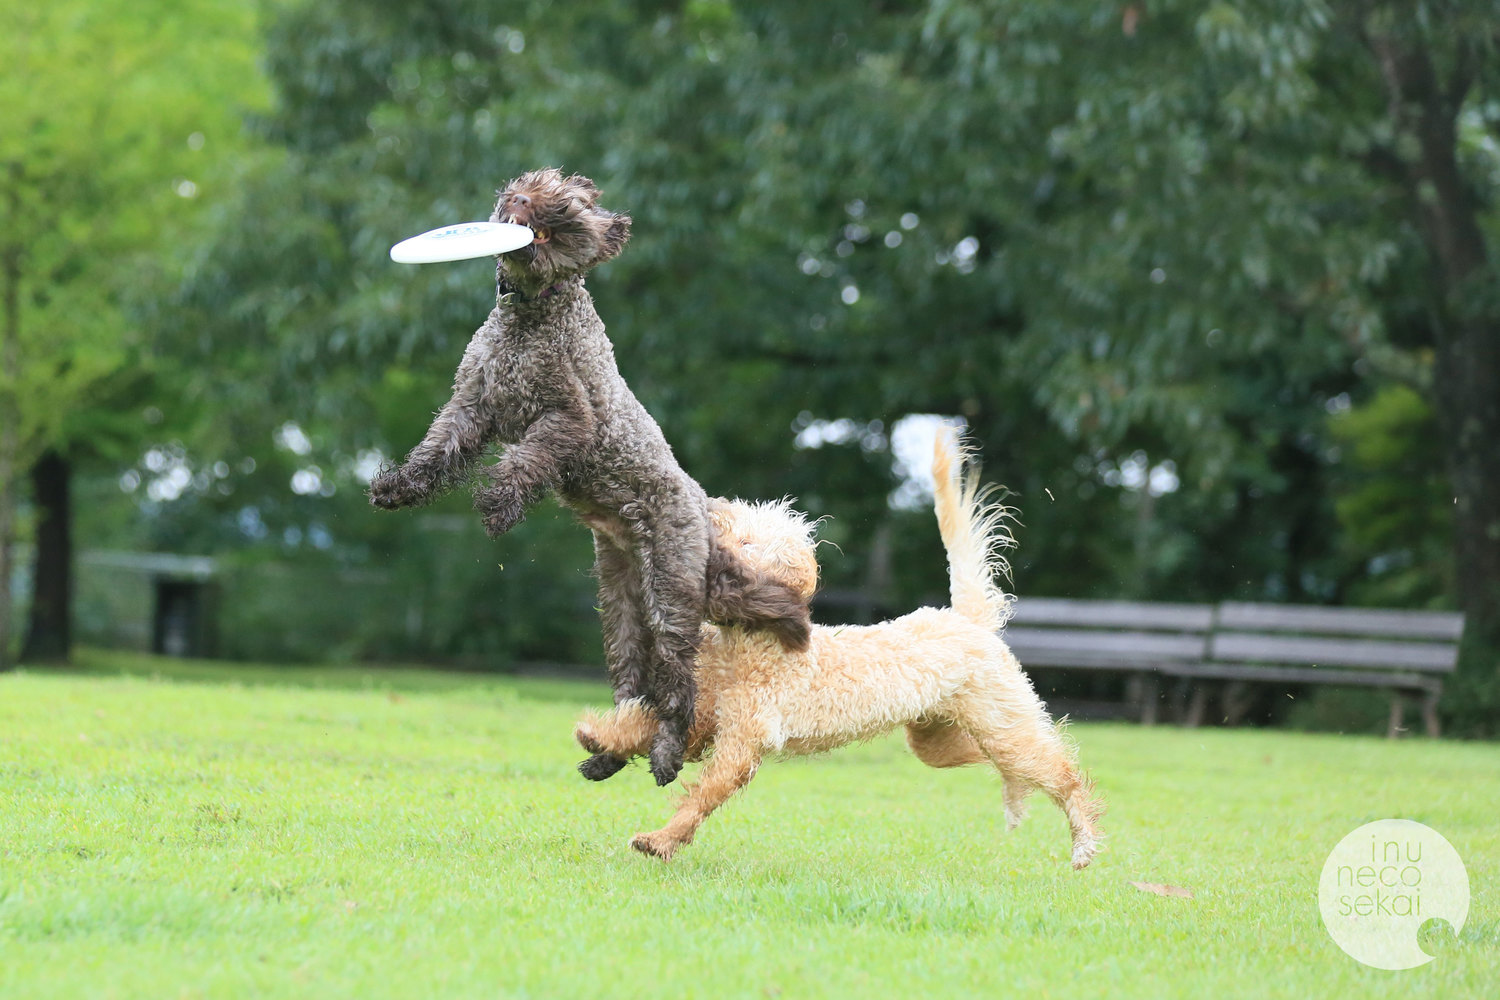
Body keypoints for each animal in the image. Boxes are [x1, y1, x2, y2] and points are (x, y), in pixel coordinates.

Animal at [369, 167, 810, 785]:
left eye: (565, 204)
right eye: (529, 182)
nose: (520, 200)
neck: (531, 315)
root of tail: (702, 511)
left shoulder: (570, 417)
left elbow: (527, 459)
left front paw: (498, 504)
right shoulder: (472, 406)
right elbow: (437, 452)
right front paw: (396, 487)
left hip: (669, 595)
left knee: (680, 687)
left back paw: (666, 755)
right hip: (622, 611)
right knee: (635, 689)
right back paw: (607, 754)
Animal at [573, 434, 1104, 869]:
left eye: (747, 538)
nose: (711, 504)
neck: (755, 643)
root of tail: (966, 620)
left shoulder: (741, 743)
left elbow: (702, 796)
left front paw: (660, 840)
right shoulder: (702, 717)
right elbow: (642, 726)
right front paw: (598, 735)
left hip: (1003, 724)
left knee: (1061, 771)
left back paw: (1083, 842)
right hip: (938, 737)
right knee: (1005, 762)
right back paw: (1018, 799)